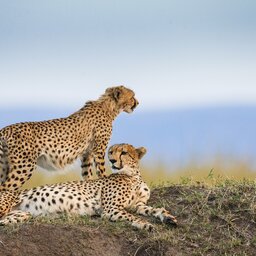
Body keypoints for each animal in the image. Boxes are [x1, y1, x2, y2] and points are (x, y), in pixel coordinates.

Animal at [0, 86, 138, 194]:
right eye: (132, 96)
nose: (137, 102)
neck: (109, 107)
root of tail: (6, 128)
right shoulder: (99, 150)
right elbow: (102, 171)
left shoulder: (87, 154)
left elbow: (87, 175)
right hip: (24, 166)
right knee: (5, 188)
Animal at [0, 144, 177, 230]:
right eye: (111, 152)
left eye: (124, 152)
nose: (112, 160)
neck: (133, 176)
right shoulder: (111, 209)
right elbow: (133, 217)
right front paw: (145, 224)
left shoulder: (138, 205)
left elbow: (152, 210)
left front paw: (168, 217)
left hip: (20, 214)